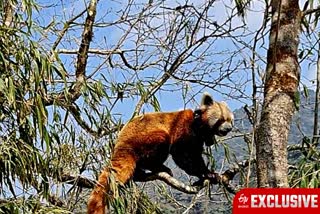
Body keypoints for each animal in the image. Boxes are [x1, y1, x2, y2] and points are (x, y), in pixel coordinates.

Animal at [87, 93, 232, 213]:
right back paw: (159, 168)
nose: (229, 128)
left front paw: (206, 175)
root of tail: (120, 145)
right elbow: (183, 155)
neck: (198, 126)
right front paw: (207, 173)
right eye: (221, 119)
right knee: (159, 144)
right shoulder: (184, 129)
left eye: (230, 120)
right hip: (144, 138)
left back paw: (139, 173)